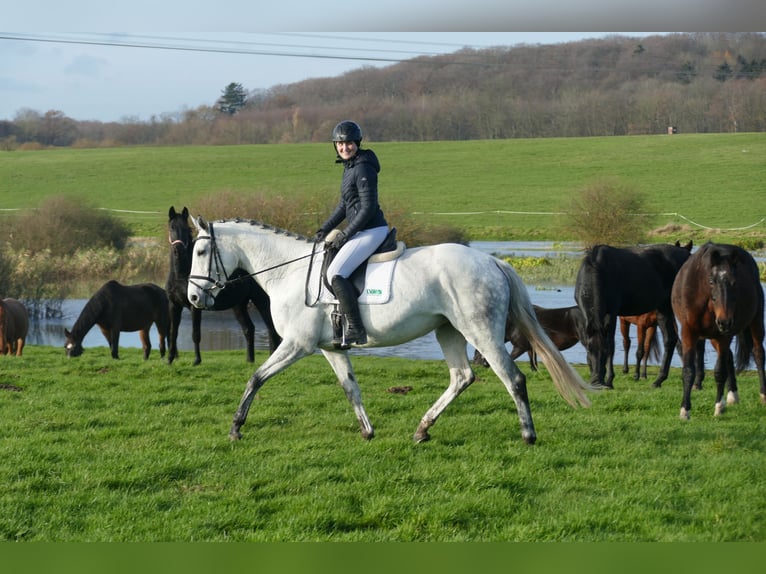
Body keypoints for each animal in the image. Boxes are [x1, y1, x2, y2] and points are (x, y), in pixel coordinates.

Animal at [165, 207, 282, 366]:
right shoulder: (174, 305)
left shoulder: (195, 307)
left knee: (271, 330)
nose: (179, 251)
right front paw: (170, 359)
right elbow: (173, 332)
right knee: (249, 329)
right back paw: (249, 360)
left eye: (187, 228)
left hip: (261, 301)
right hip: (239, 305)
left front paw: (196, 360)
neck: (181, 275)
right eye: (171, 227)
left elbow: (196, 334)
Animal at [189, 216, 596, 446]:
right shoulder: (331, 348)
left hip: (480, 331)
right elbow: (350, 388)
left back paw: (528, 435)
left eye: (200, 252)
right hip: (449, 330)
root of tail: (492, 261)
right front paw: (367, 432)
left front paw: (236, 428)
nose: (193, 297)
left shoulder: (297, 345)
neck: (289, 271)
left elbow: (256, 378)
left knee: (512, 378)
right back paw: (422, 430)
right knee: (462, 377)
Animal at [576, 241, 696, 390]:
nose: (596, 382)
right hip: (663, 309)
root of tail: (688, 255)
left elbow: (612, 345)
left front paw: (609, 380)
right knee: (670, 339)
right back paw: (659, 380)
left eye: (604, 351)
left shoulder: (612, 313)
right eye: (589, 350)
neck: (598, 270)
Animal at [676, 241, 764, 420]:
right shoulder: (688, 332)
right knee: (729, 356)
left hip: (755, 322)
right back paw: (732, 395)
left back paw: (763, 395)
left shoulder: (723, 335)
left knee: (758, 354)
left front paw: (718, 407)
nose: (724, 321)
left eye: (735, 282)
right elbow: (688, 371)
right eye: (711, 281)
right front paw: (685, 410)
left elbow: (719, 372)